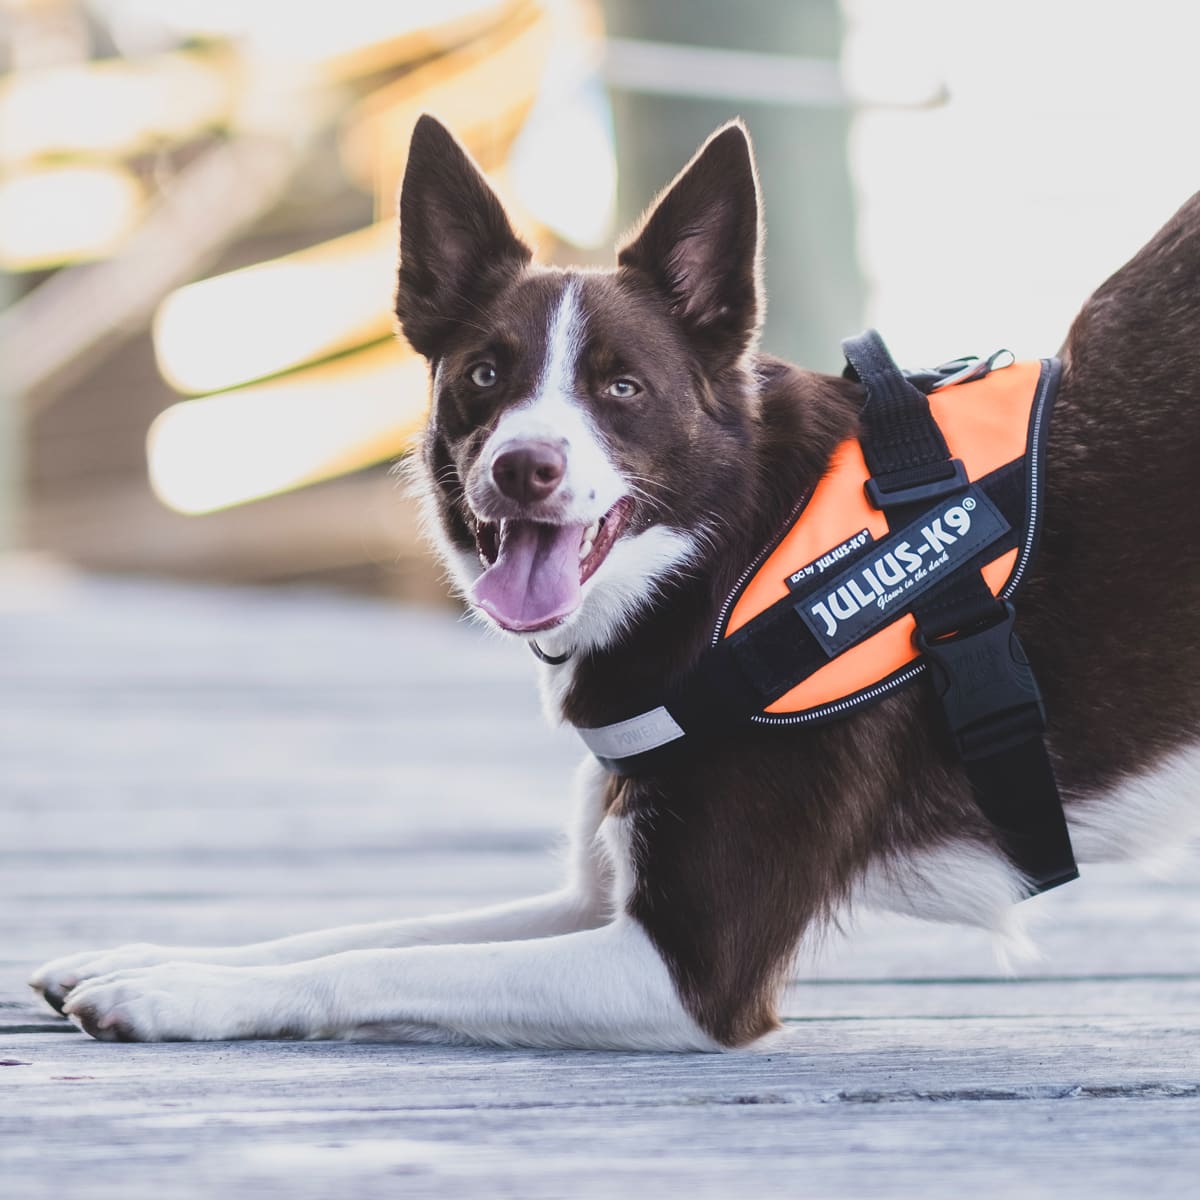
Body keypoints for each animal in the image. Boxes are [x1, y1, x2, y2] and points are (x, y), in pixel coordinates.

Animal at [32, 114, 1200, 1051]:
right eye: (484, 376)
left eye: (623, 389)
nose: (522, 468)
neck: (725, 554)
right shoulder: (593, 895)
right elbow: (360, 928)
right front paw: (141, 956)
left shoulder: (690, 970)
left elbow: (371, 962)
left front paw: (174, 993)